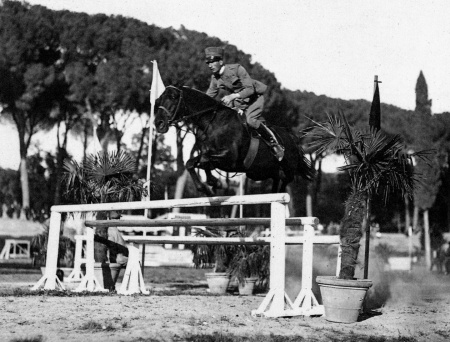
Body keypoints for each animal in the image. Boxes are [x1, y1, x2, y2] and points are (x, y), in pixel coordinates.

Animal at [155, 85, 312, 196]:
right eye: (159, 100)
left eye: (173, 97)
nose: (158, 124)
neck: (213, 123)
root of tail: (292, 138)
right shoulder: (210, 154)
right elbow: (192, 163)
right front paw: (209, 186)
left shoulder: (230, 157)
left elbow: (205, 161)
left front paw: (214, 183)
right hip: (265, 172)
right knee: (275, 184)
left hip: (287, 170)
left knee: (284, 183)